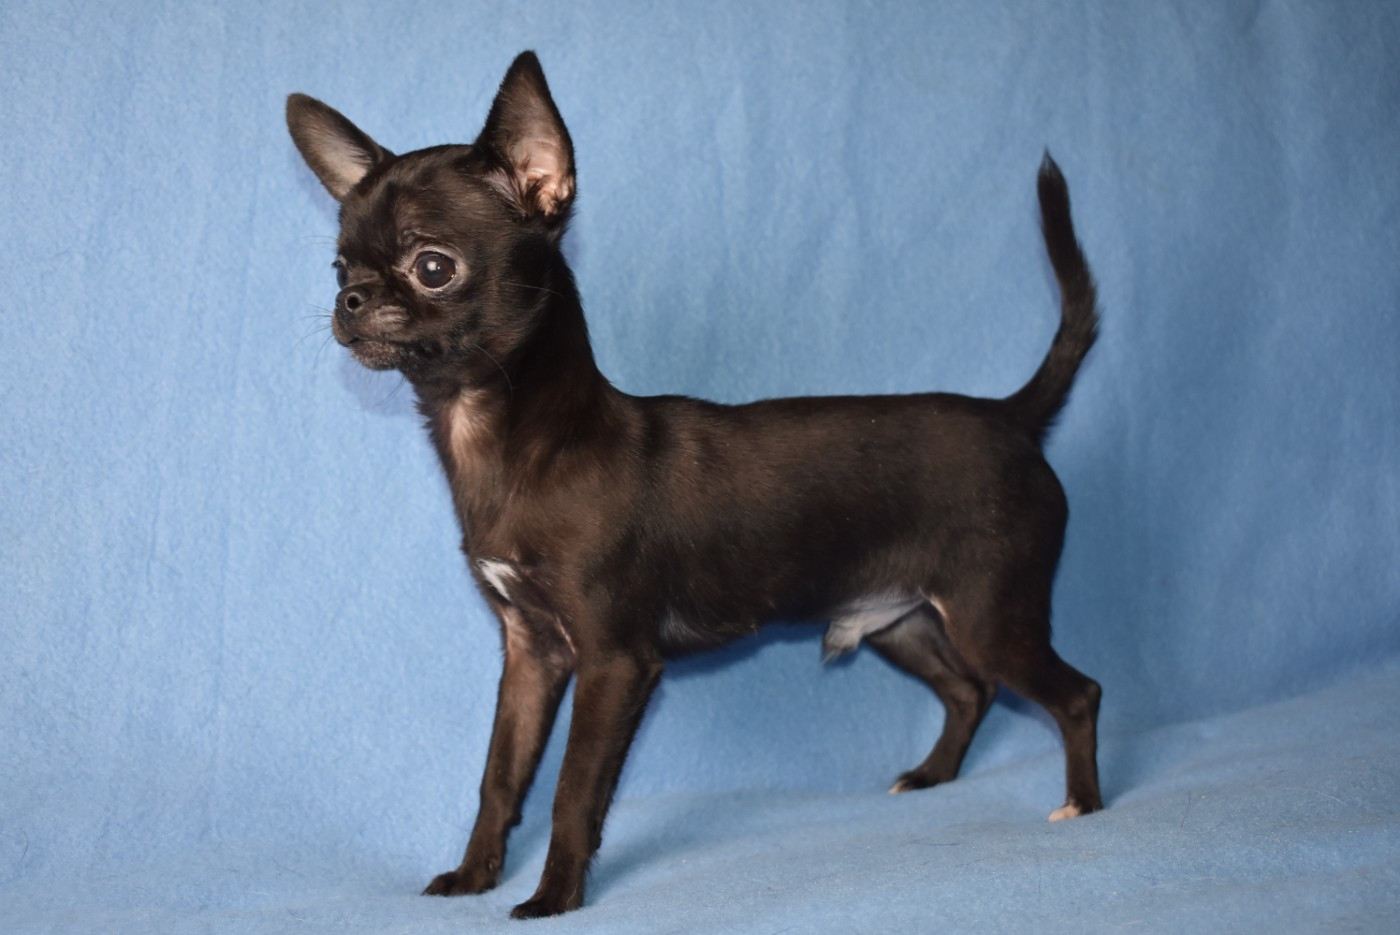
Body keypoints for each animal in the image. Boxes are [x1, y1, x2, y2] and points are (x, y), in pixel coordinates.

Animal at [287, 50, 1103, 919]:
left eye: (432, 266)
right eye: (339, 266)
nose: (349, 299)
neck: (508, 444)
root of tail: (1011, 415)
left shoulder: (613, 661)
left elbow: (574, 787)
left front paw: (555, 896)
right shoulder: (531, 652)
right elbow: (501, 777)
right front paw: (475, 876)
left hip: (989, 613)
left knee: (1074, 692)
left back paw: (1083, 805)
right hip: (900, 617)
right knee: (967, 690)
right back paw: (931, 776)